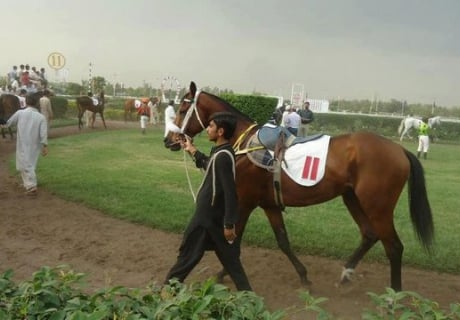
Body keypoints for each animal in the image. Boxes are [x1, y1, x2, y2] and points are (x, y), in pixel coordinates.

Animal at [165, 81, 434, 292]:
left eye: (182, 108)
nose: (169, 140)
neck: (245, 144)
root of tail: (399, 150)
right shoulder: (269, 204)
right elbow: (282, 241)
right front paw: (304, 276)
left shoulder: (244, 201)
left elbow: (234, 239)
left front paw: (222, 274)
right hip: (352, 198)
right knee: (370, 235)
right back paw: (345, 274)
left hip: (378, 206)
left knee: (394, 247)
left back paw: (393, 296)